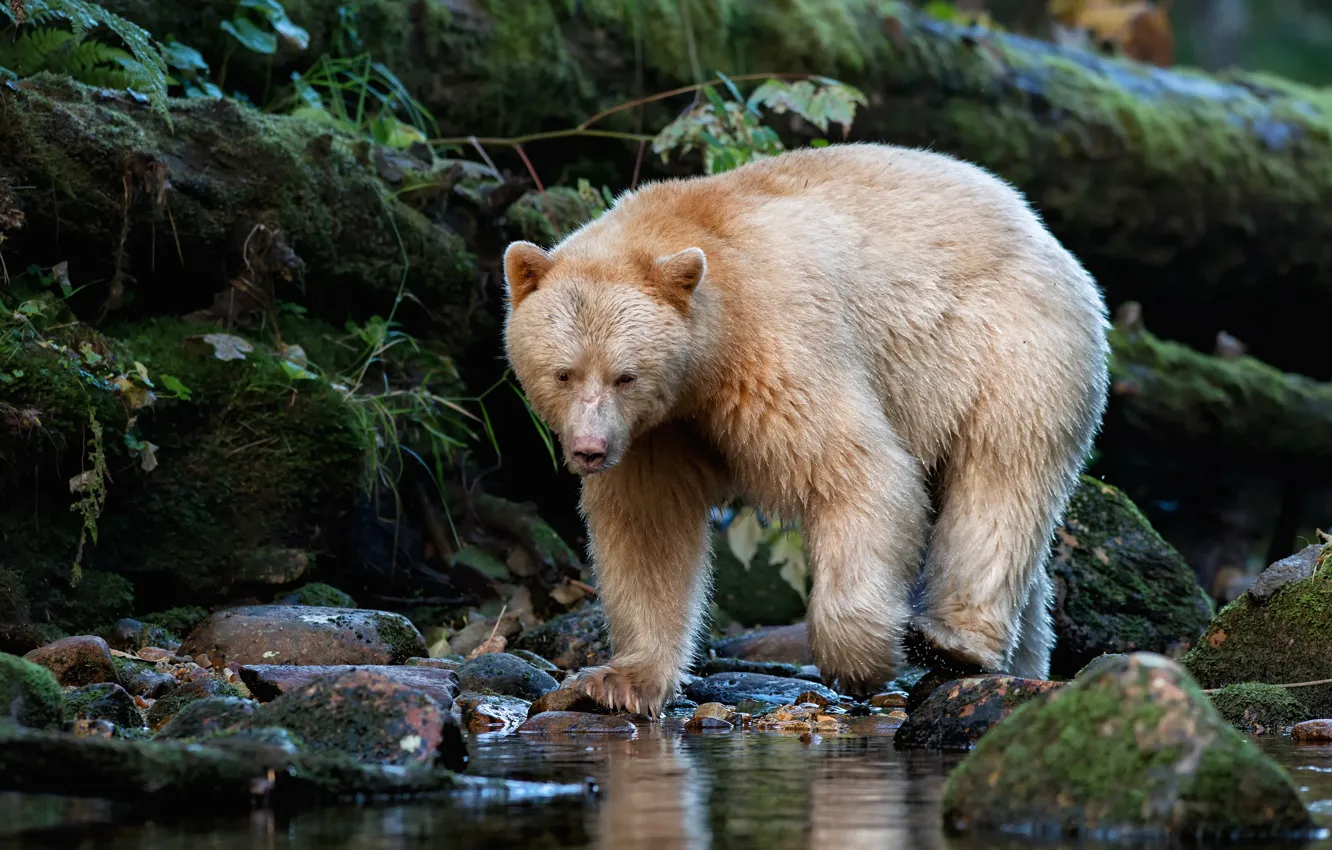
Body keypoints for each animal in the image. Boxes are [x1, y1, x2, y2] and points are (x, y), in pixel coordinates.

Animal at [500, 142, 1110, 715]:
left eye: (626, 375)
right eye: (564, 373)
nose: (589, 450)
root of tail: (1040, 229)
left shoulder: (776, 347)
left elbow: (859, 471)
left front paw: (857, 659)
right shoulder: (655, 433)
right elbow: (650, 527)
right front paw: (620, 682)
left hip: (1008, 349)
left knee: (998, 480)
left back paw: (952, 641)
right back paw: (1019, 662)